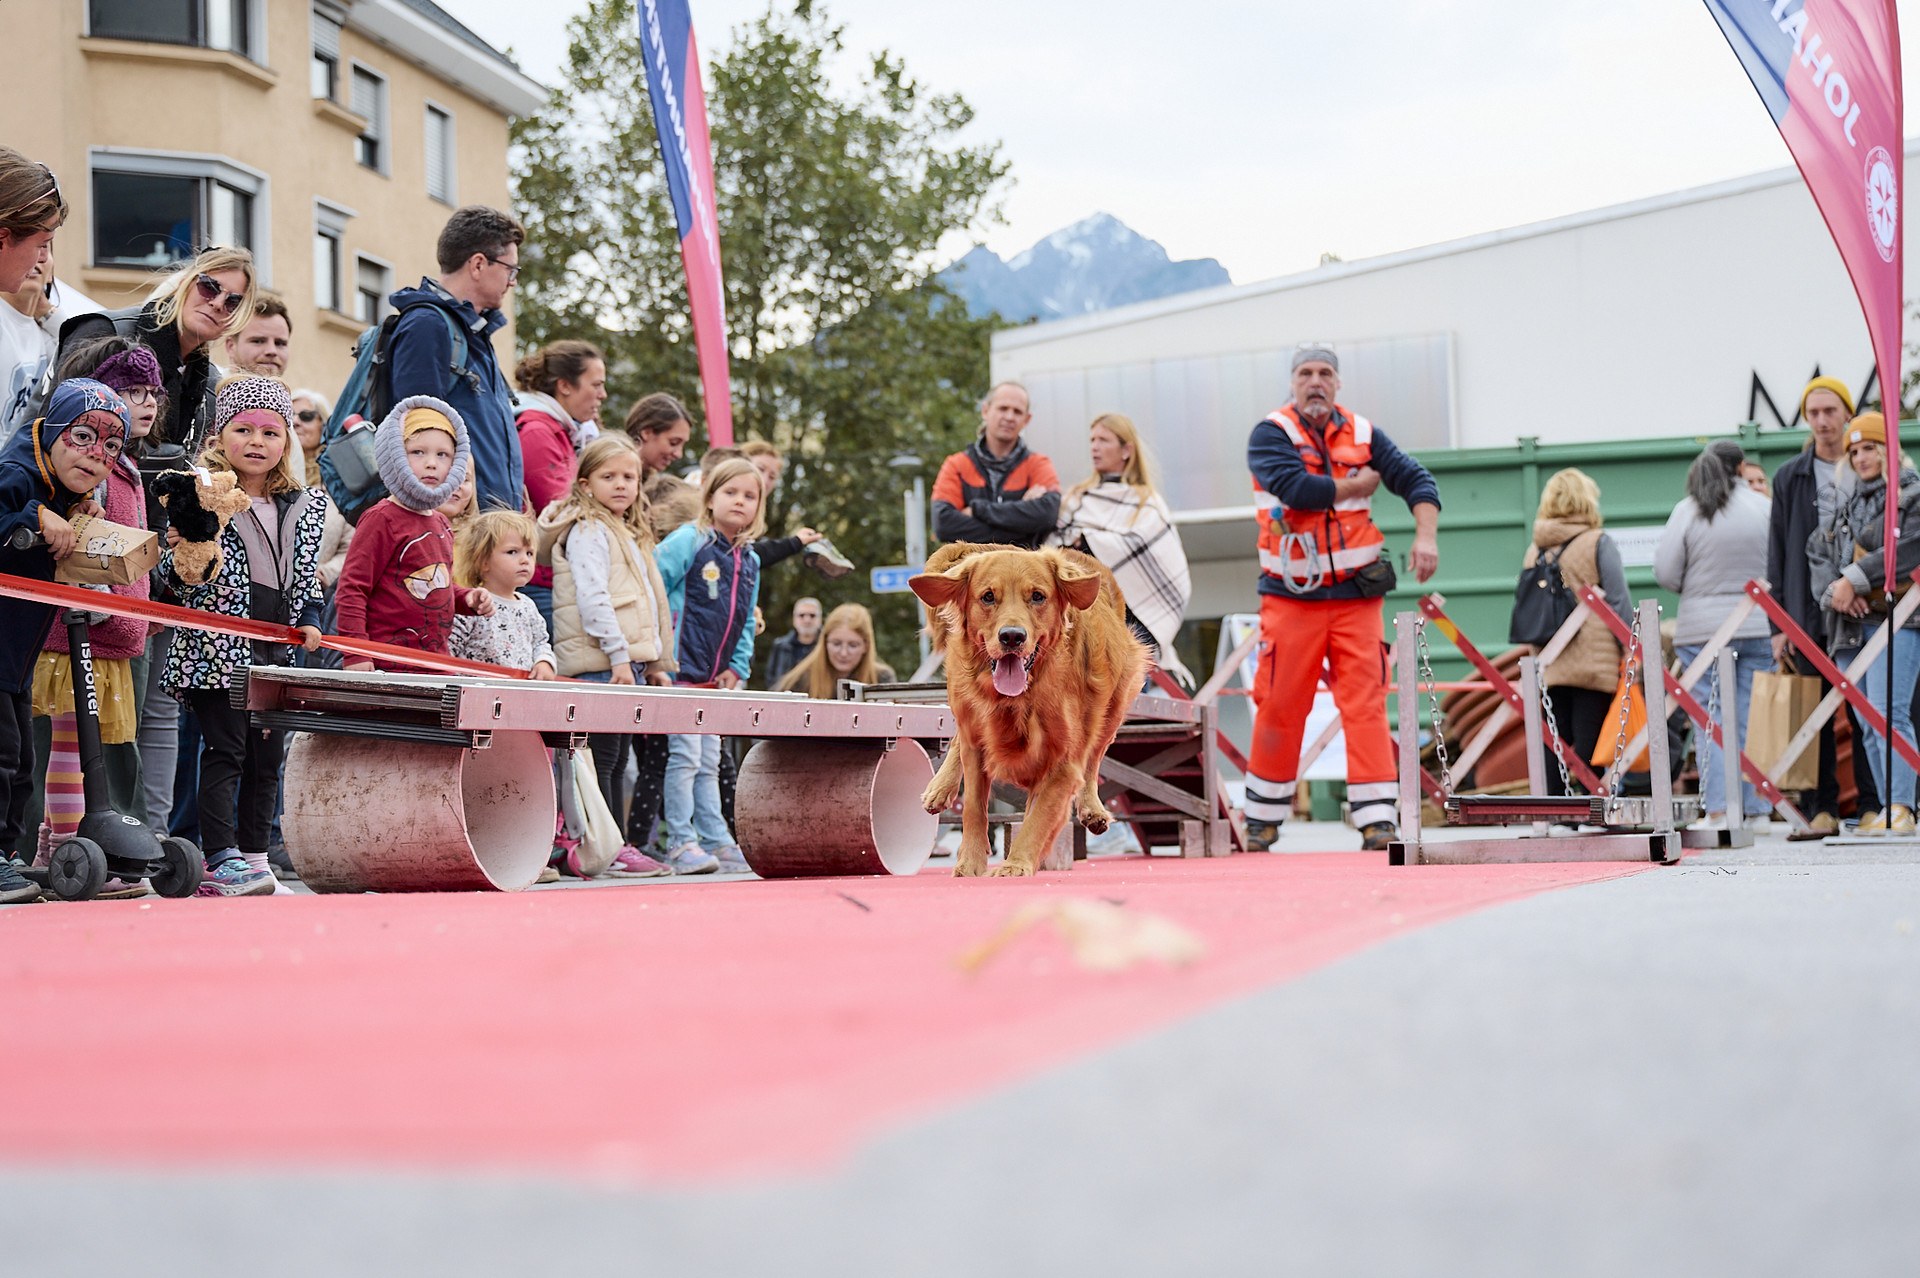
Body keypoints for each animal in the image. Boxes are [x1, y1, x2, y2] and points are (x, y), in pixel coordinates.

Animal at [910, 537, 1144, 875]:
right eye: (988, 597)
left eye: (1037, 596)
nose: (1011, 636)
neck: (1019, 699)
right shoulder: (977, 745)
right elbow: (973, 809)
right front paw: (970, 864)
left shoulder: (1063, 760)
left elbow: (1038, 817)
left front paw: (1015, 864)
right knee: (957, 740)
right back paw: (939, 787)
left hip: (1113, 708)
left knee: (1094, 759)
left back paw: (1092, 808)